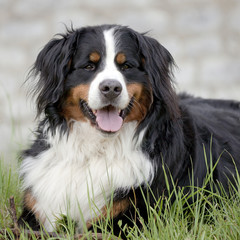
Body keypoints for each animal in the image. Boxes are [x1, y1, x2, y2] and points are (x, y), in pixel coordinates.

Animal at [18, 24, 240, 234]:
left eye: (126, 66)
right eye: (89, 66)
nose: (111, 88)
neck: (96, 150)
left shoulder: (130, 219)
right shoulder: (35, 213)